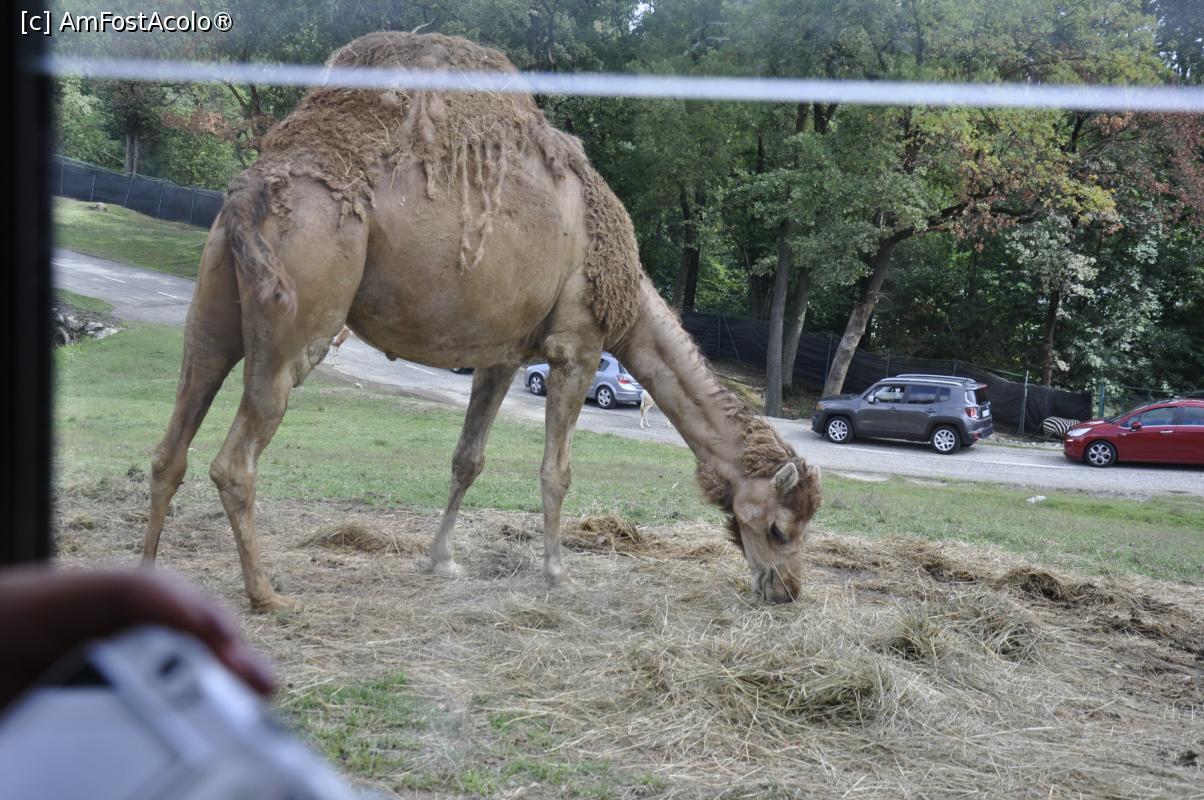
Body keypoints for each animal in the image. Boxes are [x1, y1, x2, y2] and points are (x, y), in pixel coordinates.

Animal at [143, 32, 821, 610]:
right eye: (781, 528)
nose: (787, 591)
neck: (626, 297)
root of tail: (247, 191)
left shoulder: (501, 353)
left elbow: (468, 459)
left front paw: (438, 561)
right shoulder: (577, 345)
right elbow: (556, 471)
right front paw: (557, 574)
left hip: (217, 302)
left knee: (174, 437)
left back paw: (147, 577)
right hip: (304, 310)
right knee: (235, 460)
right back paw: (267, 595)